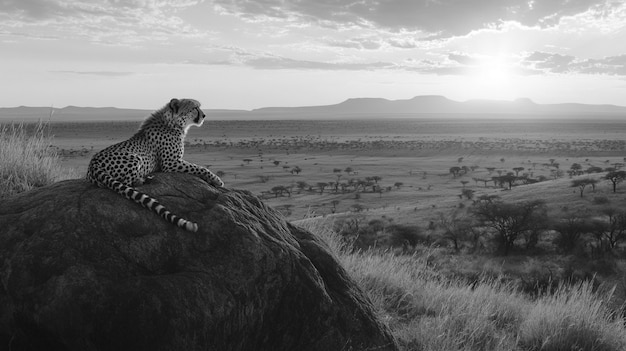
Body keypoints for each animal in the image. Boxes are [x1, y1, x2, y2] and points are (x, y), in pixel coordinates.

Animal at [85, 97, 224, 232]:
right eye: (195, 108)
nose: (204, 115)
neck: (174, 123)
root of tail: (93, 162)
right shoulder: (170, 163)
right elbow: (199, 168)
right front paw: (216, 179)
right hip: (136, 157)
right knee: (127, 182)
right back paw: (143, 179)